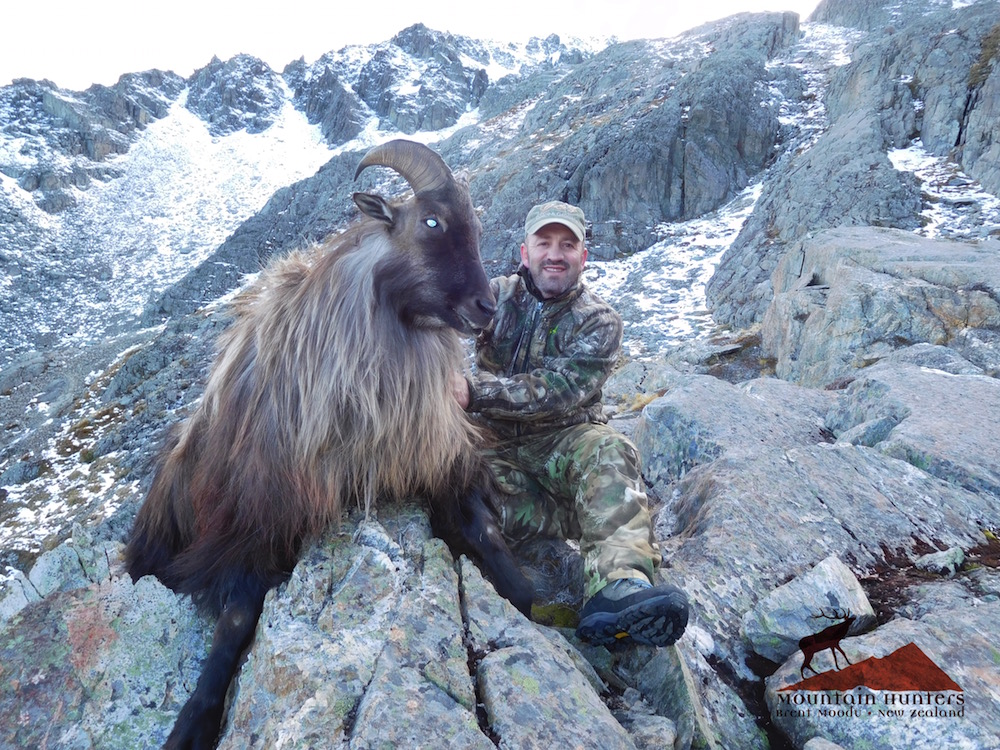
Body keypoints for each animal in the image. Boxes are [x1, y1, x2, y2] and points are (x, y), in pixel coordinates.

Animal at [127, 140, 532, 750]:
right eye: (432, 221)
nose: (486, 306)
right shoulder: (249, 519)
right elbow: (236, 619)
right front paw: (191, 723)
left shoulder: (435, 459)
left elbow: (485, 532)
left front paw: (544, 601)